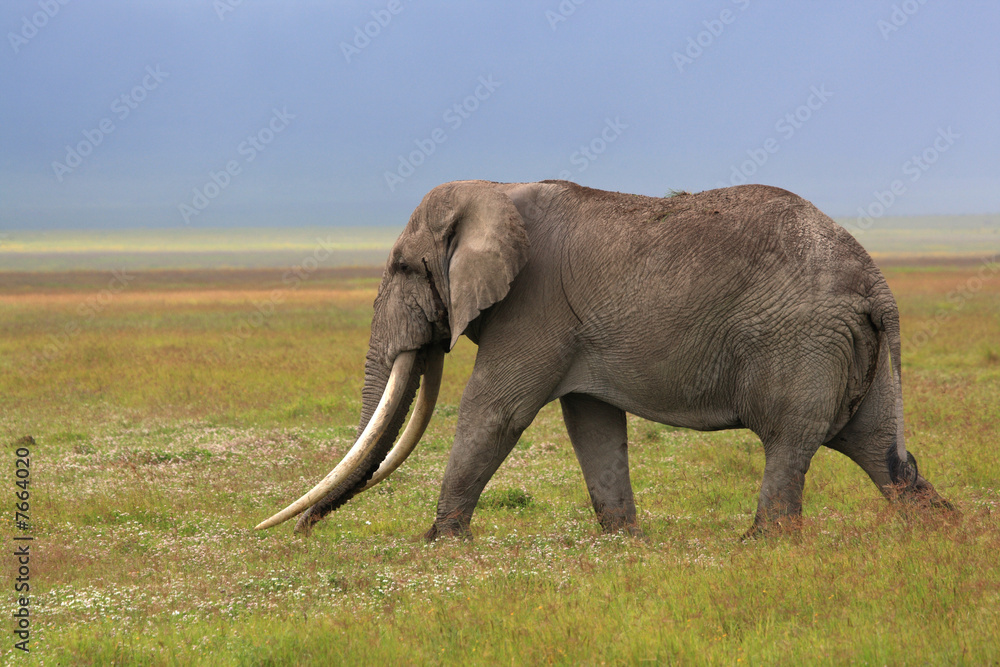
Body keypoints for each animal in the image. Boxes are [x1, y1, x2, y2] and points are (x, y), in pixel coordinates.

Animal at [256, 179, 951, 539]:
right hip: (852, 351)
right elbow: (591, 423)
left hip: (803, 342)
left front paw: (437, 545)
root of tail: (877, 282)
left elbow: (495, 411)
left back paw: (761, 547)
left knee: (790, 441)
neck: (495, 189)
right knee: (881, 453)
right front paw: (623, 542)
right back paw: (945, 536)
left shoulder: (534, 306)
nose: (303, 533)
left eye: (404, 267)